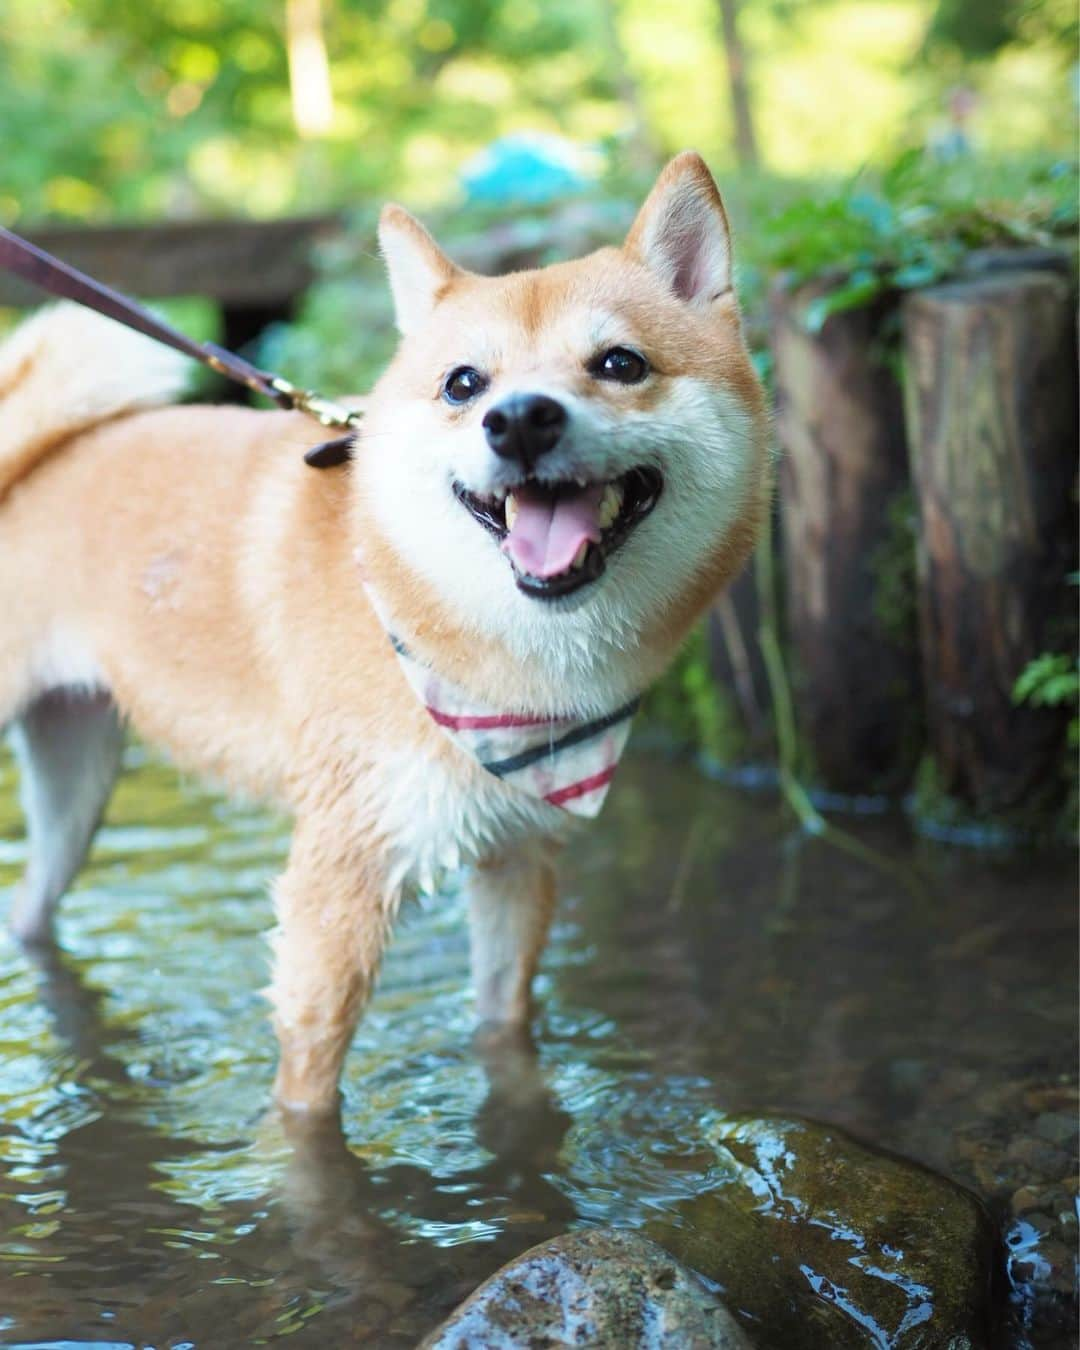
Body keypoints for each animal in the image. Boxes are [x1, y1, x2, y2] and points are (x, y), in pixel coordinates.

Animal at [0, 155, 766, 1107]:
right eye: (464, 384)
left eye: (620, 363)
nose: (520, 418)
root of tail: (28, 468)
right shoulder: (340, 882)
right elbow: (308, 1090)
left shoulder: (518, 859)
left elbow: (504, 1023)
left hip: (76, 789)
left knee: (28, 909)